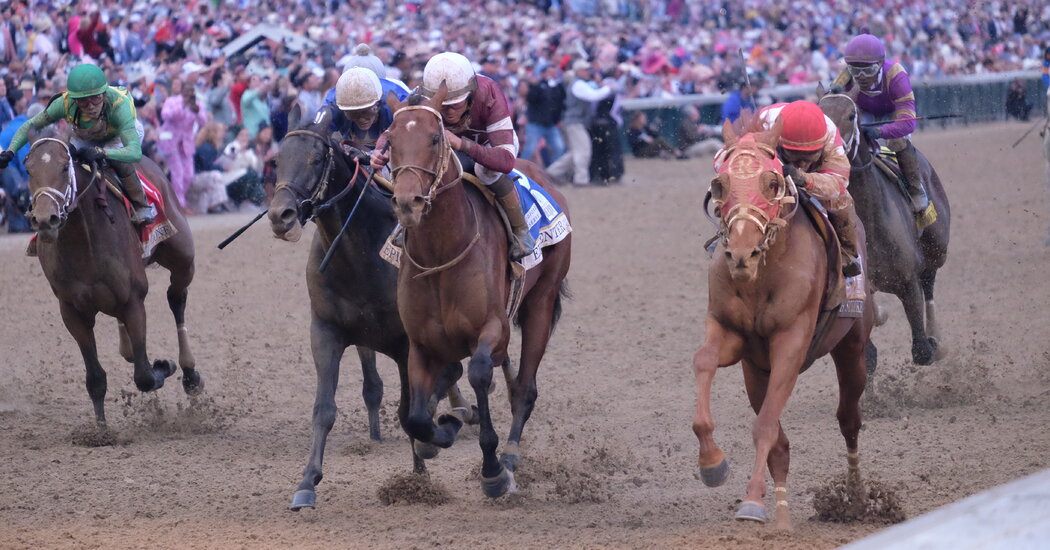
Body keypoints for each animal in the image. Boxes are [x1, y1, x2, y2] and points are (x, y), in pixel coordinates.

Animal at [25, 137, 201, 426]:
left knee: (177, 298)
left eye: (64, 168)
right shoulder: (72, 311)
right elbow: (95, 379)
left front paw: (164, 365)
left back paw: (190, 374)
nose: (44, 219)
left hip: (182, 257)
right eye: (29, 171)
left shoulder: (133, 300)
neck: (83, 242)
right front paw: (100, 430)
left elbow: (144, 376)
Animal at [266, 104, 476, 512]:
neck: (359, 254)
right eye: (277, 161)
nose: (280, 216)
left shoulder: (407, 343)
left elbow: (413, 408)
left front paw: (420, 473)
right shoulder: (326, 332)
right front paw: (307, 483)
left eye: (316, 159)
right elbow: (324, 409)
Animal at [384, 85, 571, 497]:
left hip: (541, 302)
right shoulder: (420, 343)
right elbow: (417, 417)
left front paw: (493, 470)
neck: (442, 253)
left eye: (435, 138)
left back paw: (511, 457)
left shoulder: (492, 328)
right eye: (389, 141)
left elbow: (481, 372)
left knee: (524, 389)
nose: (407, 203)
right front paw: (442, 430)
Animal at [692, 117, 873, 529]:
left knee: (849, 420)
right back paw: (783, 514)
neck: (761, 275)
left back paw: (855, 498)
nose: (741, 254)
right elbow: (704, 361)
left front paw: (751, 502)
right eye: (720, 183)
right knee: (782, 442)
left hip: (852, 347)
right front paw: (712, 463)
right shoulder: (731, 335)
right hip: (755, 372)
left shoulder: (791, 343)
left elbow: (764, 427)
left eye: (772, 183)